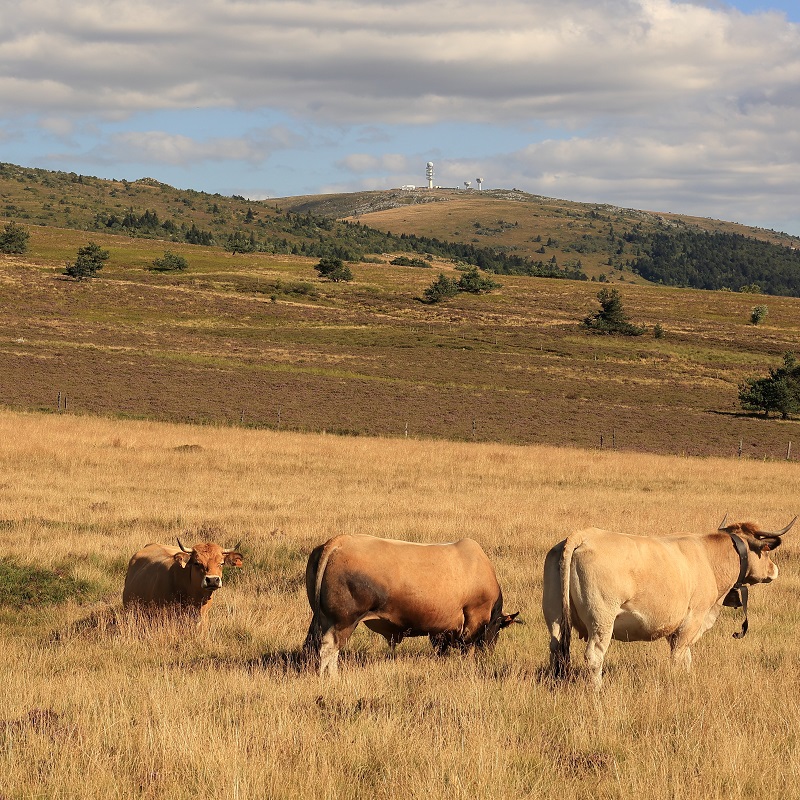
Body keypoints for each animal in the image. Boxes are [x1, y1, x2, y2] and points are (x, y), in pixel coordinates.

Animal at [300, 536, 520, 680]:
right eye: (499, 628)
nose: (489, 654)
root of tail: (336, 542)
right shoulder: (474, 619)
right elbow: (468, 649)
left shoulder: (440, 630)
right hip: (343, 621)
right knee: (329, 649)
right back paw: (332, 678)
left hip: (322, 618)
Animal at [544, 516, 792, 692]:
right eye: (765, 550)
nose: (774, 570)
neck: (711, 558)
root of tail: (583, 535)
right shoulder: (692, 620)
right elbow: (679, 657)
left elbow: (687, 658)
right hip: (602, 621)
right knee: (594, 656)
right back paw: (597, 691)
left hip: (555, 617)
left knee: (556, 650)